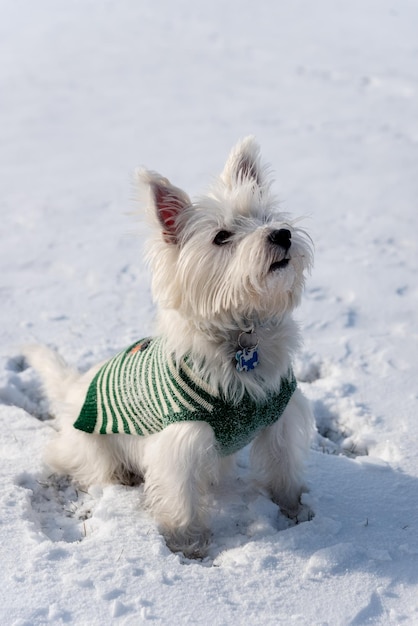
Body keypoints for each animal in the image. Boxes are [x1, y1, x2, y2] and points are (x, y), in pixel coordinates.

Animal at [25, 138, 314, 556]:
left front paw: (295, 510)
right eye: (221, 236)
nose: (282, 234)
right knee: (71, 460)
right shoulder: (181, 438)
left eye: (264, 216)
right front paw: (188, 544)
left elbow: (283, 468)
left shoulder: (280, 415)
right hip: (92, 447)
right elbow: (180, 497)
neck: (242, 334)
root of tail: (73, 390)